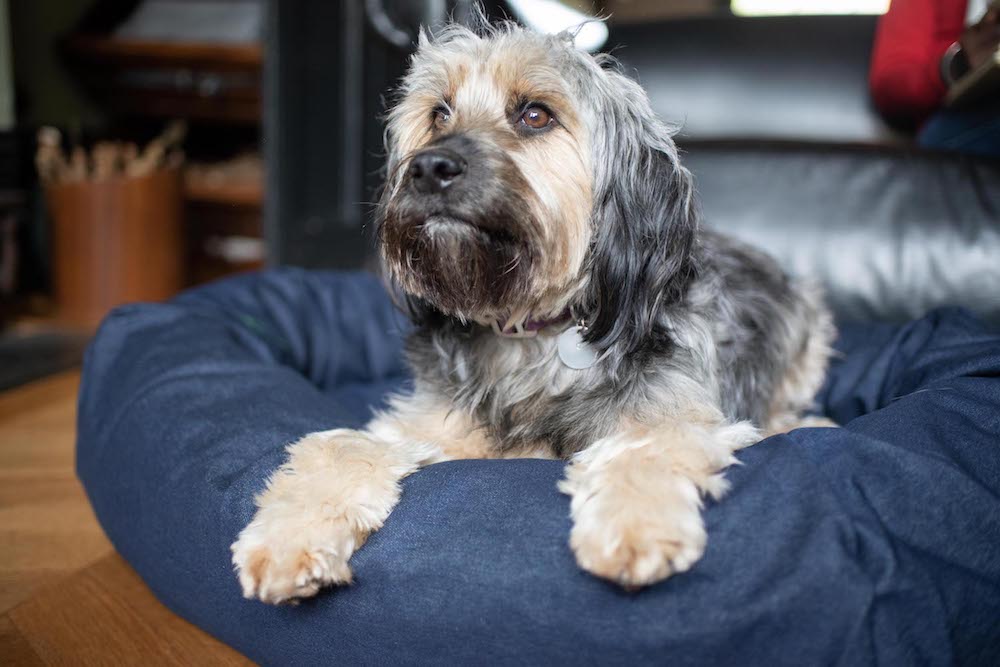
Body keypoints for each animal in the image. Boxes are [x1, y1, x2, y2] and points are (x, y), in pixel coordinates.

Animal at [230, 20, 832, 604]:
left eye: (535, 114)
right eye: (439, 113)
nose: (427, 167)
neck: (530, 332)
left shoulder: (681, 412)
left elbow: (648, 442)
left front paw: (635, 524)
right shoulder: (428, 424)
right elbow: (342, 446)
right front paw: (289, 538)